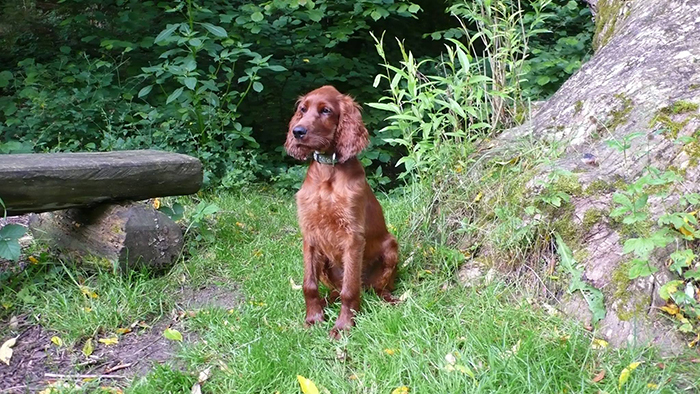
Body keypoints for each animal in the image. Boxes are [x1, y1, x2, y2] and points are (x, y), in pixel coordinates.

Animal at [284, 86, 400, 338]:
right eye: (302, 109)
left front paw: (343, 326)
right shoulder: (309, 234)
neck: (328, 170)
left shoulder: (352, 236)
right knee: (337, 290)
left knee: (375, 288)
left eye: (326, 110)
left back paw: (389, 300)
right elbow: (309, 285)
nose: (298, 131)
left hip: (391, 248)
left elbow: (350, 289)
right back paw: (326, 302)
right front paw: (313, 318)